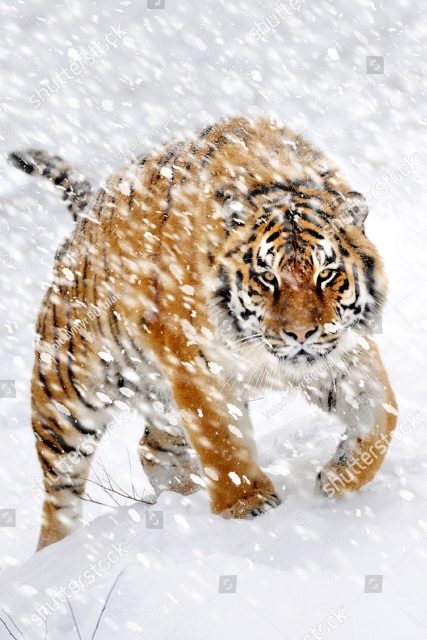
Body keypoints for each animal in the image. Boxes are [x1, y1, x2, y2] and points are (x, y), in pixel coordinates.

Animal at [8, 116, 397, 550]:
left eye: (326, 274)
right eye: (267, 277)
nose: (301, 333)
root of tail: (82, 226)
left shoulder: (344, 352)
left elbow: (382, 418)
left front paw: (337, 479)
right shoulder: (196, 367)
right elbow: (221, 441)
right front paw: (248, 507)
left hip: (157, 396)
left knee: (153, 450)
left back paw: (181, 501)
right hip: (67, 396)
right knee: (59, 494)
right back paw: (54, 550)